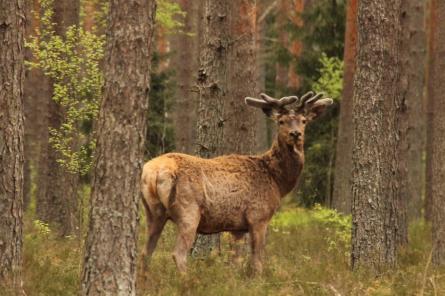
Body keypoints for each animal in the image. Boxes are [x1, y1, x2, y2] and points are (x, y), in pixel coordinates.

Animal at [140, 90, 332, 272]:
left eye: (304, 121)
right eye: (281, 121)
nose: (295, 134)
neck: (277, 181)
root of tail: (154, 172)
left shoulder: (237, 227)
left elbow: (235, 261)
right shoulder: (258, 216)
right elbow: (257, 261)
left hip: (153, 212)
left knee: (145, 253)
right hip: (189, 209)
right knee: (178, 254)